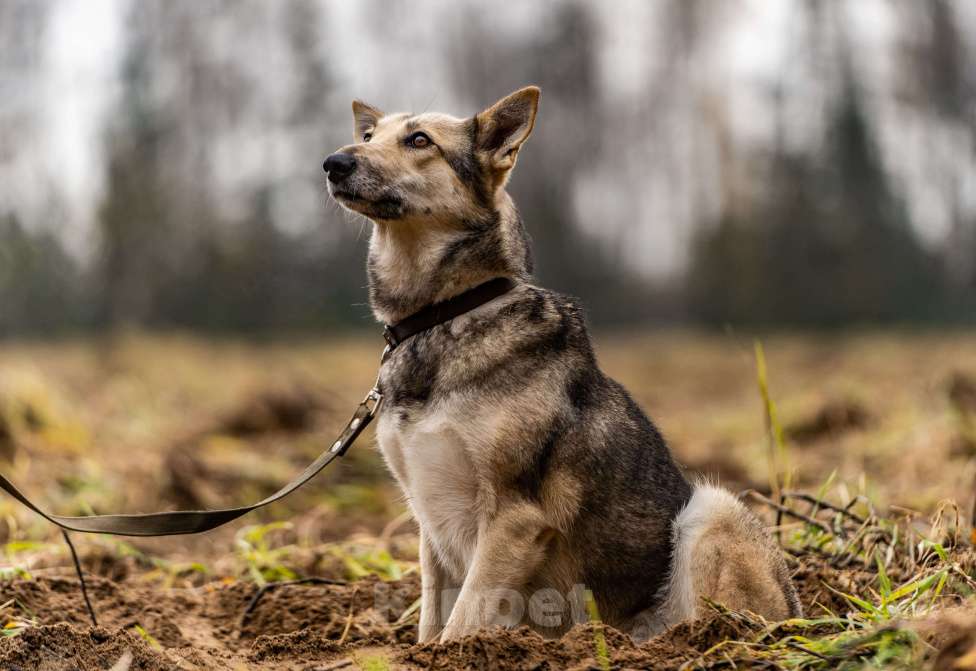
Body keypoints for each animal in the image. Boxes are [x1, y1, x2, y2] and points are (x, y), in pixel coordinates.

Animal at [324, 86, 796, 644]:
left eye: (420, 140)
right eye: (370, 135)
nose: (333, 162)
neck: (442, 316)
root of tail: (800, 614)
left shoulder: (513, 516)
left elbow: (462, 623)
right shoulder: (428, 519)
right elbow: (431, 622)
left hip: (712, 511)